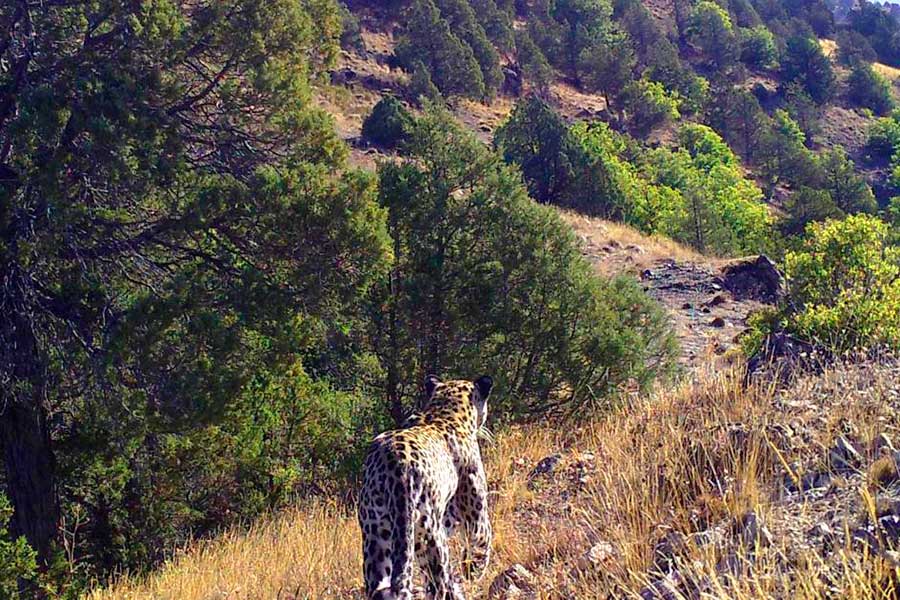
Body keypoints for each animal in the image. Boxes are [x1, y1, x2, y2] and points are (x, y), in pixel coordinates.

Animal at [358, 375, 494, 600]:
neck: (444, 413)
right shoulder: (476, 519)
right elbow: (481, 546)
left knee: (378, 585)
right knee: (438, 584)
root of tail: (396, 465)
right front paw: (472, 574)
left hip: (375, 532)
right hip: (429, 535)